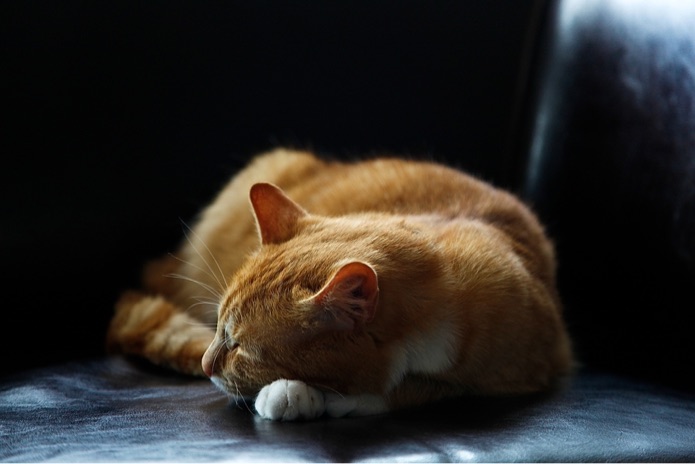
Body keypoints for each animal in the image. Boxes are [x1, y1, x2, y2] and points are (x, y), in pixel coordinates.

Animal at [106, 148, 572, 420]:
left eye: (241, 348)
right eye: (218, 328)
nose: (205, 365)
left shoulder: (531, 369)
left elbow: (416, 389)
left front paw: (310, 395)